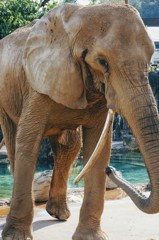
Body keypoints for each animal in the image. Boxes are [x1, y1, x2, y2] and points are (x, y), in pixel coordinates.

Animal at [0, 2, 159, 240]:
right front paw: (15, 237)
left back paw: (59, 214)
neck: (80, 17)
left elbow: (98, 148)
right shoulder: (38, 85)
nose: (112, 170)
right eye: (102, 61)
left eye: (150, 59)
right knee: (14, 144)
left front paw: (91, 237)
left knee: (70, 146)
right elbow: (28, 143)